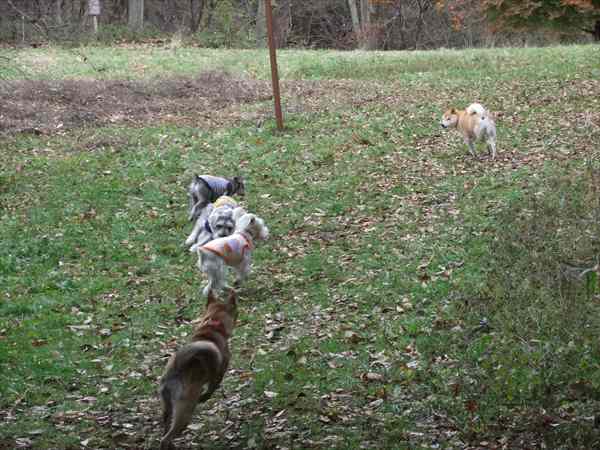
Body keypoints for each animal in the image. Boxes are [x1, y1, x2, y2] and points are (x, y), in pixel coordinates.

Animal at [159, 289, 237, 450]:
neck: (213, 325)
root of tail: (176, 369)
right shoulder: (218, 374)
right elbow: (212, 388)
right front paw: (204, 397)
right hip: (184, 411)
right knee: (166, 438)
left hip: (167, 408)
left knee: (166, 429)